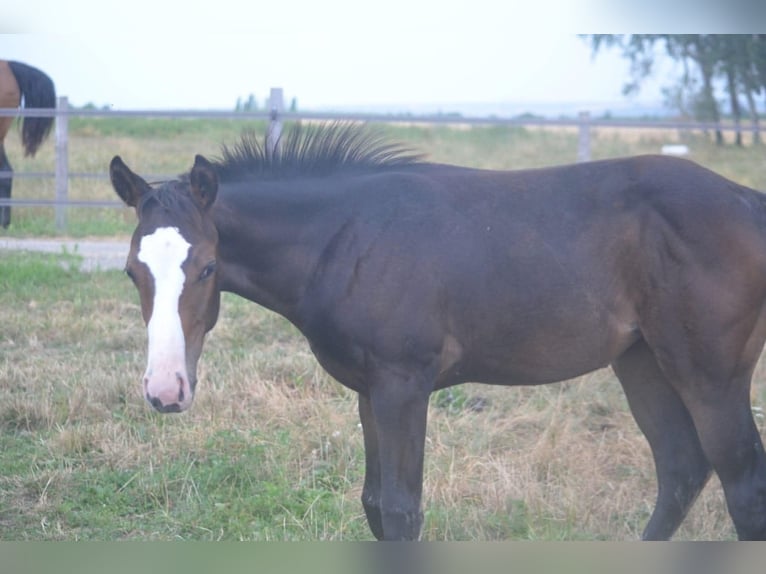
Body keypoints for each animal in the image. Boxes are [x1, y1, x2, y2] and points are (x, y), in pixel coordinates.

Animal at [110, 123, 766, 541]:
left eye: (207, 268)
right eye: (131, 270)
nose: (165, 391)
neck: (348, 237)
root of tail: (748, 201)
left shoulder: (405, 385)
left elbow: (403, 510)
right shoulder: (371, 390)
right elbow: (376, 505)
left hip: (710, 374)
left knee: (741, 483)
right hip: (642, 360)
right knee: (681, 469)